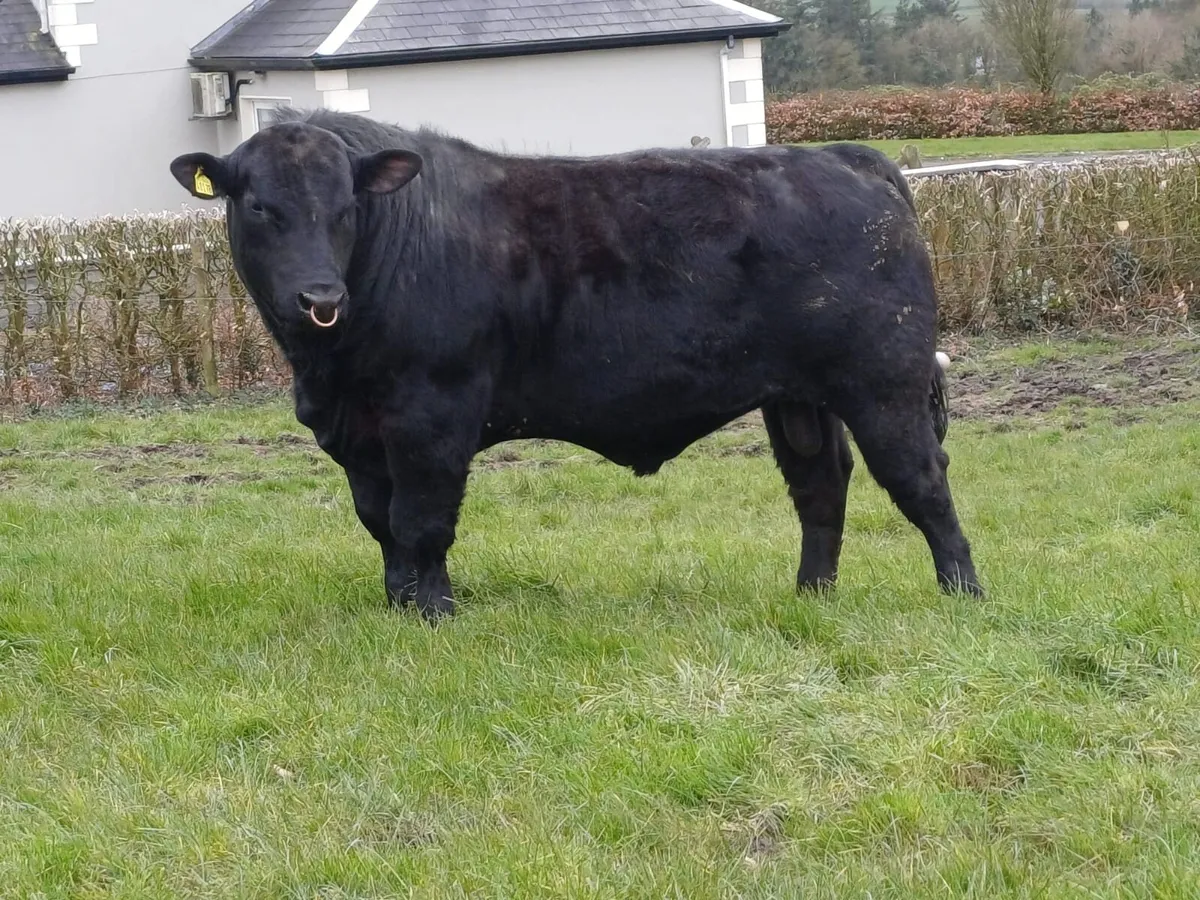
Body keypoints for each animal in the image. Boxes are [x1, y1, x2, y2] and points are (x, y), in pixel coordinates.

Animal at [169, 109, 983, 622]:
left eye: (344, 206)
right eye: (261, 207)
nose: (319, 295)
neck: (330, 366)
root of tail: (845, 157)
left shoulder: (433, 414)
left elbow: (421, 521)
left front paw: (434, 614)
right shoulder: (359, 437)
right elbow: (382, 524)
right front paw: (397, 606)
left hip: (884, 382)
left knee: (923, 482)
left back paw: (964, 596)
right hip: (797, 397)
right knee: (820, 488)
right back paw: (811, 596)